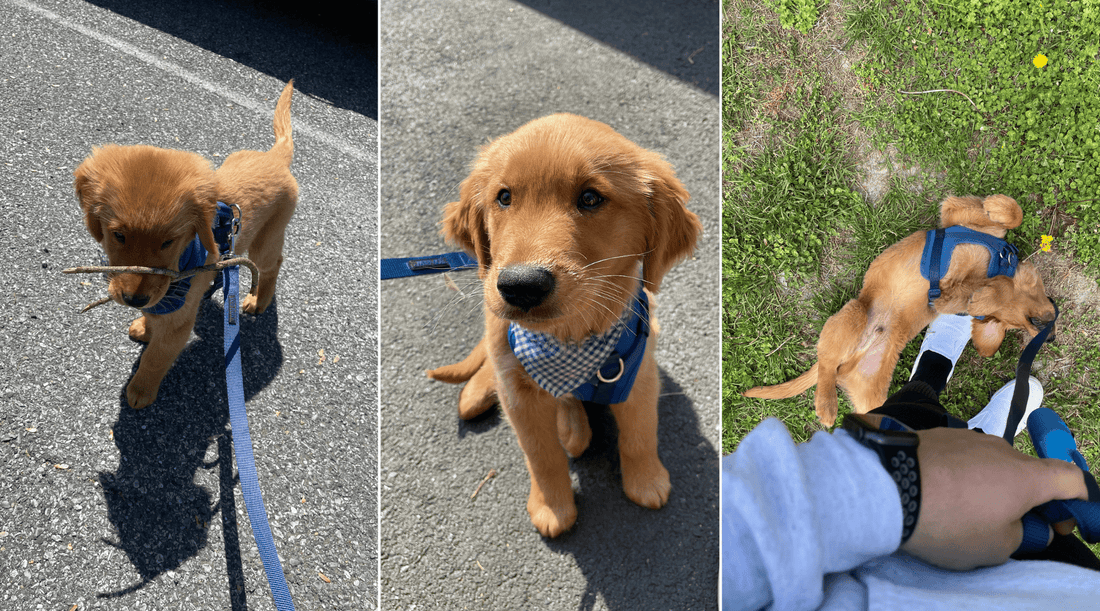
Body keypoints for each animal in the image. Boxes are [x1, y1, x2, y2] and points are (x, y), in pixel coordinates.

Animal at [74, 78, 299, 409]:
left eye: (169, 241)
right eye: (119, 235)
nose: (133, 300)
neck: (182, 261)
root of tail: (274, 157)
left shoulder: (179, 321)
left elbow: (156, 357)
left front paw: (141, 389)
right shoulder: (161, 297)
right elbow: (153, 314)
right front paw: (145, 326)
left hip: (266, 238)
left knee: (272, 264)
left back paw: (259, 300)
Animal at [424, 113, 699, 535]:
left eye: (590, 198)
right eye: (504, 197)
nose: (521, 285)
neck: (568, 338)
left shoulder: (639, 373)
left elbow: (639, 433)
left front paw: (646, 481)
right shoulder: (519, 398)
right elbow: (541, 455)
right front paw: (552, 507)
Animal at [743, 194, 1051, 424]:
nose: (1048, 329)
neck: (997, 263)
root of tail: (853, 357)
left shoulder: (947, 298)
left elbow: (980, 293)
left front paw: (985, 296)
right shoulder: (953, 212)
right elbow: (1014, 213)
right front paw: (996, 205)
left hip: (869, 391)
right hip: (854, 315)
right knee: (827, 364)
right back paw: (827, 405)